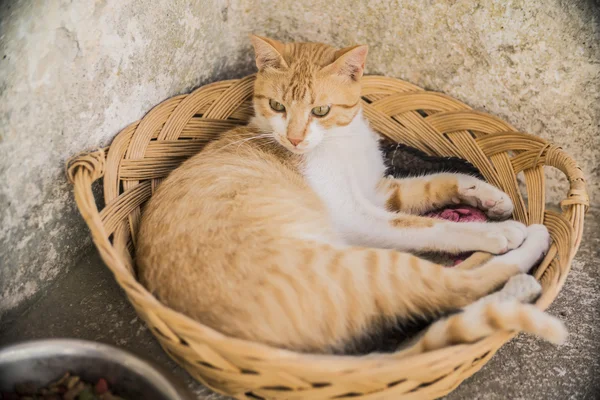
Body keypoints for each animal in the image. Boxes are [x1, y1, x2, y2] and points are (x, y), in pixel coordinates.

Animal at [136, 34, 568, 354]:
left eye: (321, 111)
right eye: (277, 106)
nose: (294, 138)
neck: (340, 142)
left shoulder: (379, 191)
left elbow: (436, 182)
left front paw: (489, 195)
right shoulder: (359, 217)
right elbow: (426, 225)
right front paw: (492, 230)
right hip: (364, 265)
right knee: (458, 285)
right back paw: (529, 249)